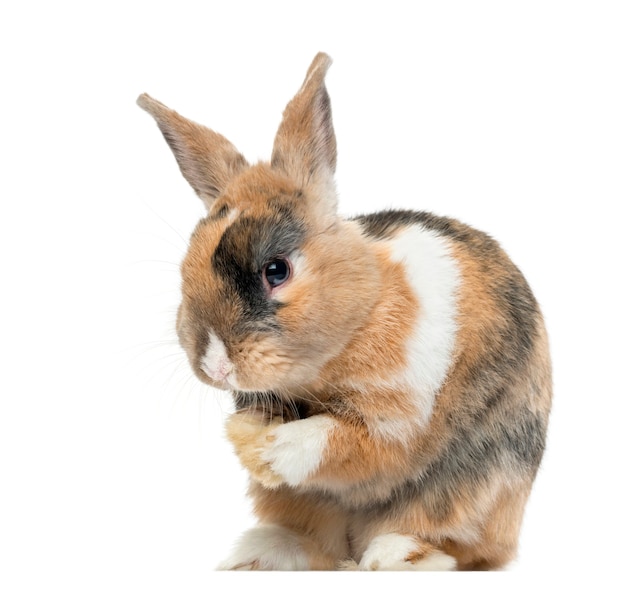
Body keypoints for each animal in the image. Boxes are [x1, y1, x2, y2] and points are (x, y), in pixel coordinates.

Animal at [138, 53, 552, 572]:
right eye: (186, 268)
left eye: (277, 270)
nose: (215, 366)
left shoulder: (393, 420)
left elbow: (331, 440)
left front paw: (271, 451)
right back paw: (256, 557)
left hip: (473, 488)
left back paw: (390, 558)